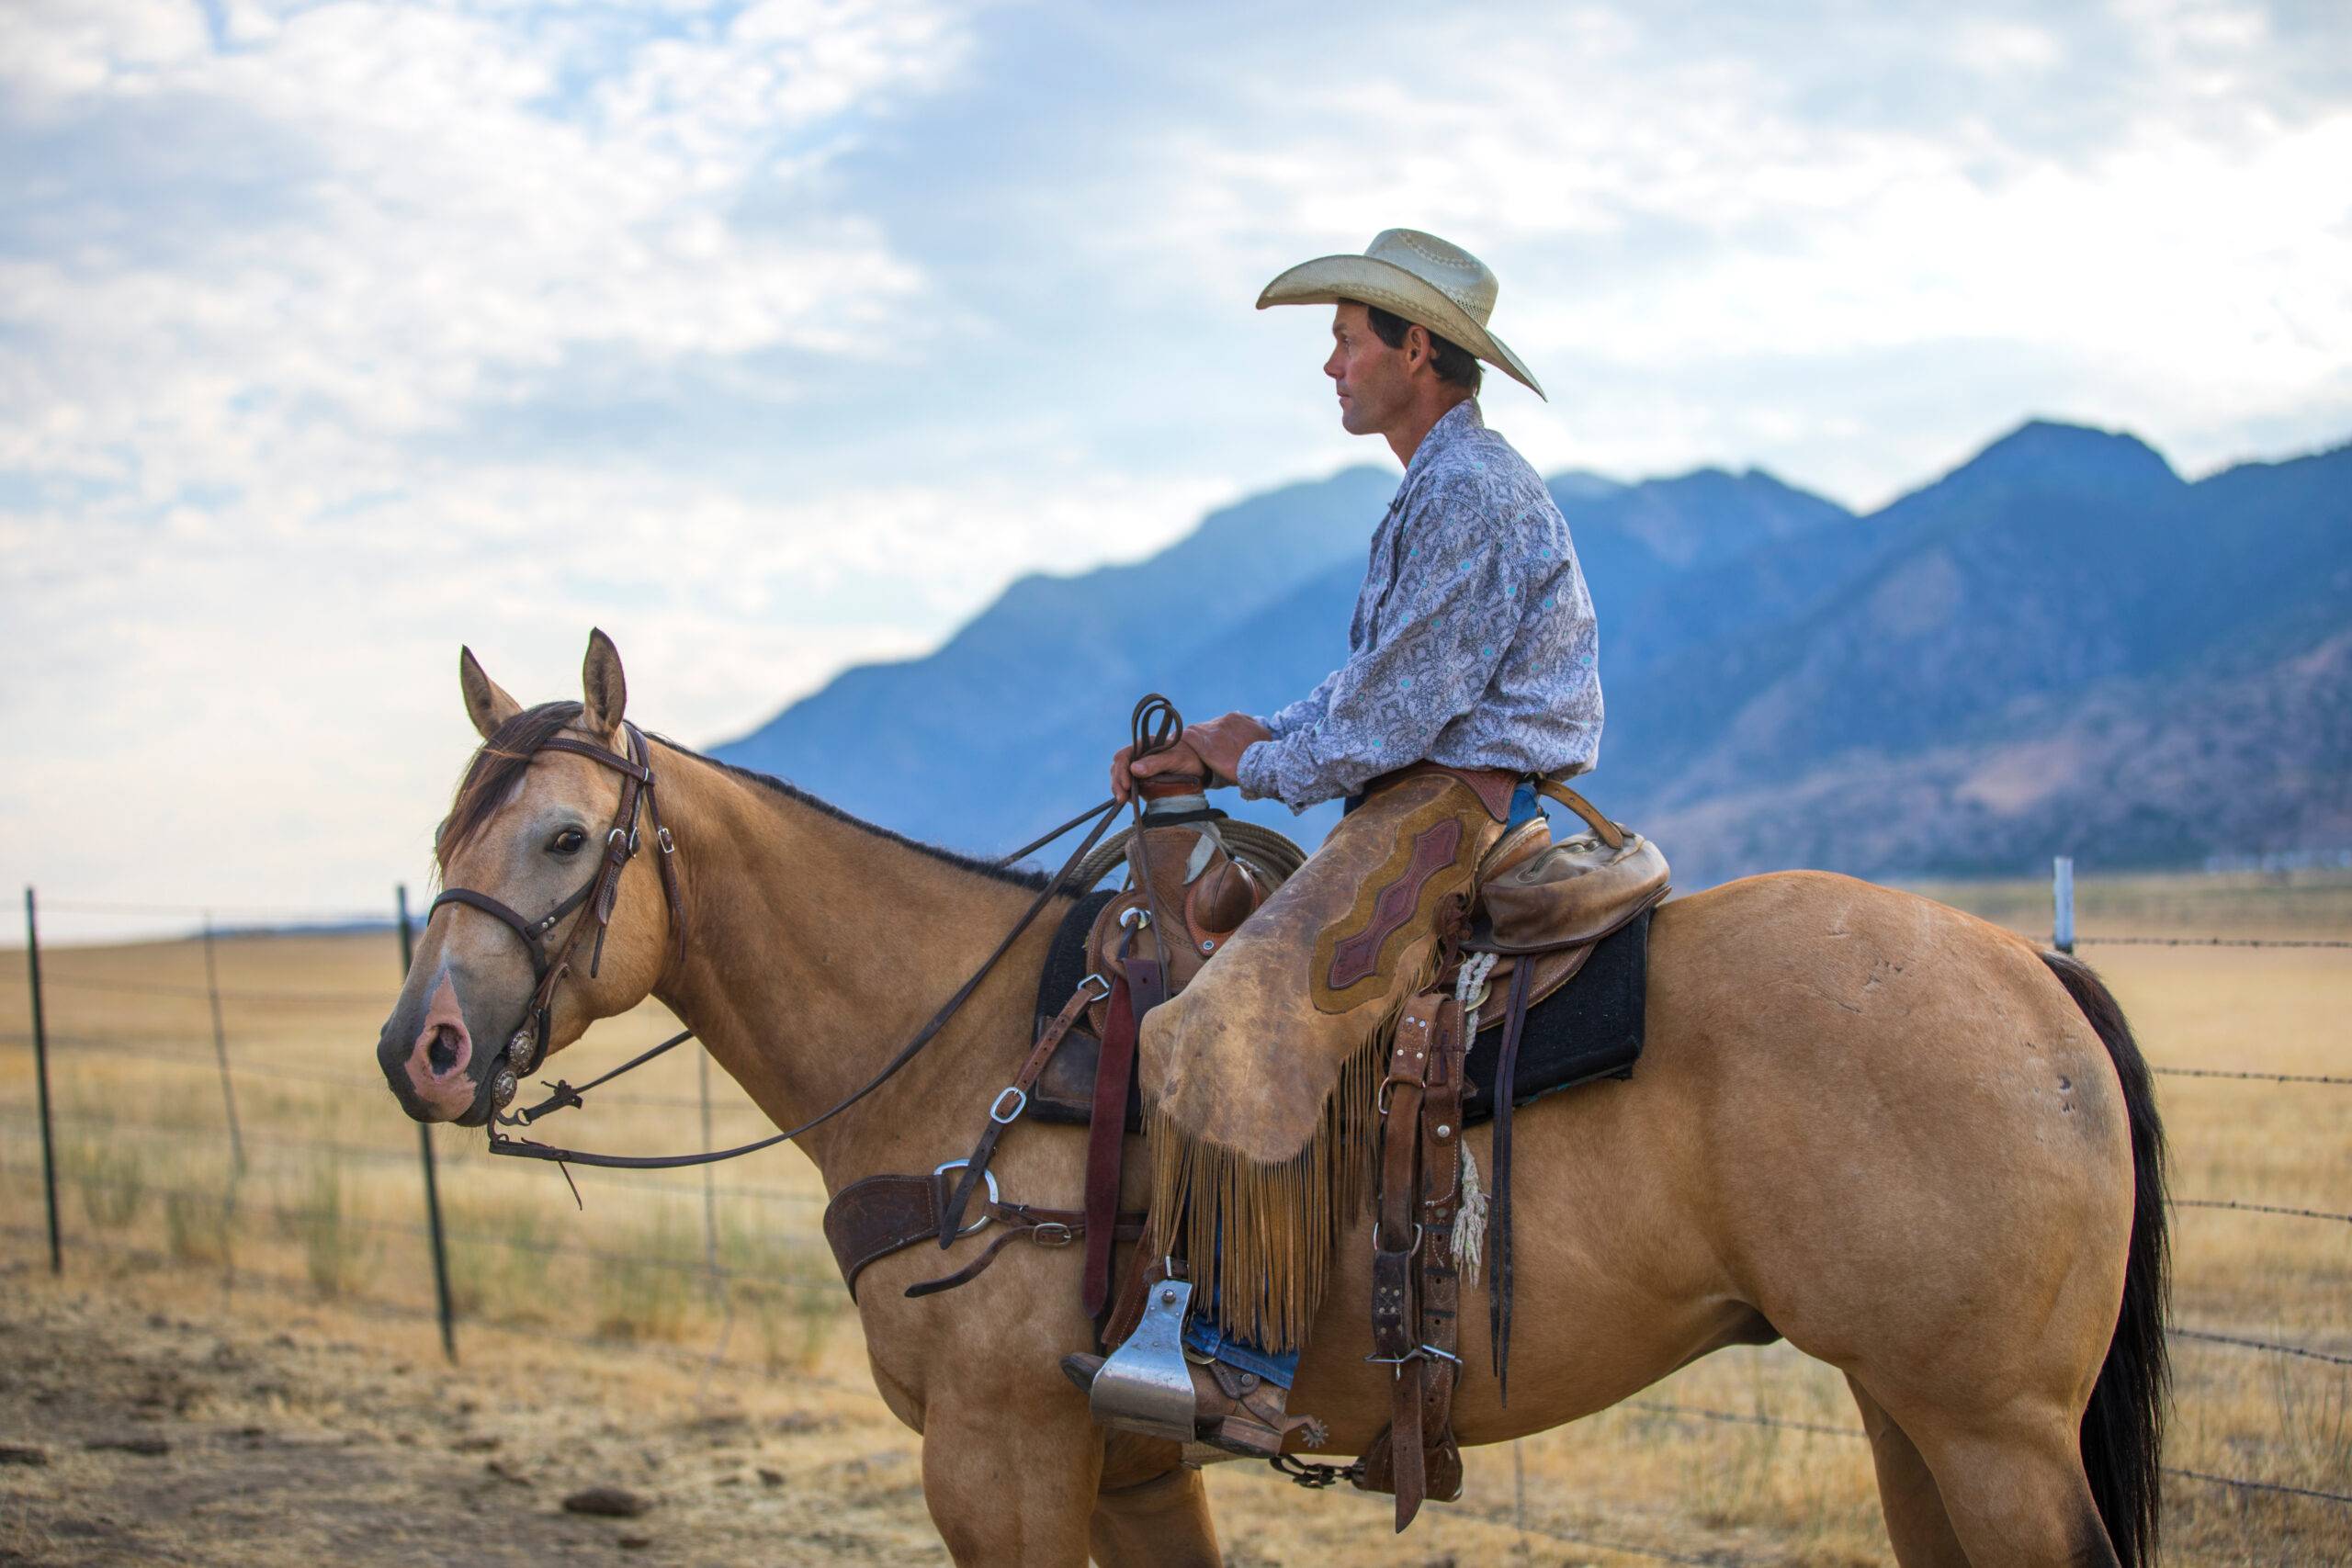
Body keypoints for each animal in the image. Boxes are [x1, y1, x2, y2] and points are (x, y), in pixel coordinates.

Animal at [371, 629, 2164, 1561]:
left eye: (564, 837)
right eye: (447, 829)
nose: (421, 1050)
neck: (959, 1055)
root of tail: (2028, 968)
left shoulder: (1000, 1464)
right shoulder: (1132, 1464)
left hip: (1993, 1427)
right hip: (1908, 1411)